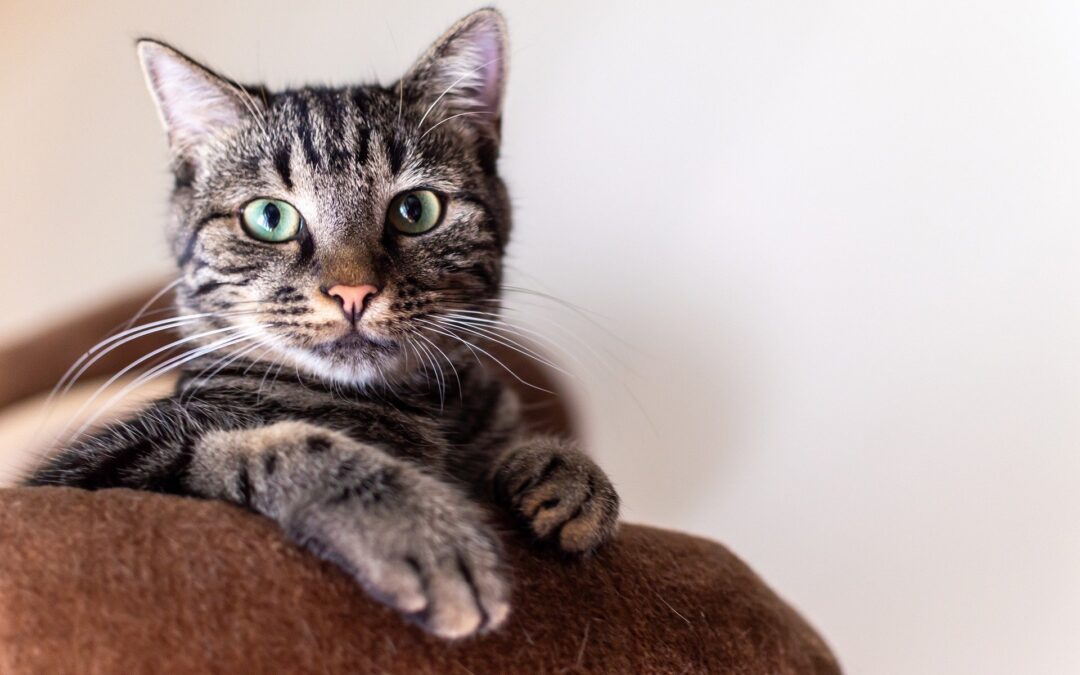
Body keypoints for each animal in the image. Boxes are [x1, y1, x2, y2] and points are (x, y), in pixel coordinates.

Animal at [23, 7, 617, 635]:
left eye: (416, 210)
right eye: (269, 217)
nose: (353, 291)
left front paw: (565, 471)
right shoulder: (95, 469)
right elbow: (273, 445)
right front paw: (417, 526)